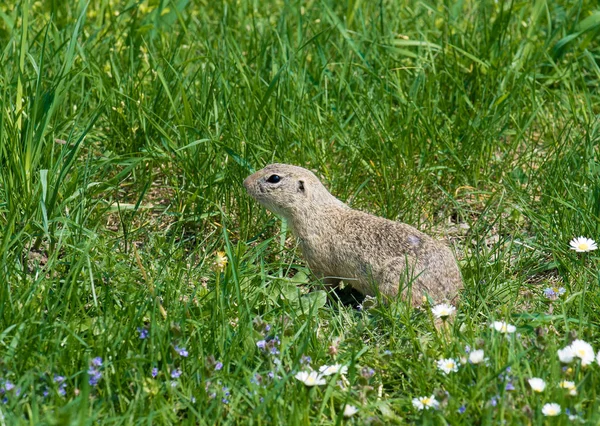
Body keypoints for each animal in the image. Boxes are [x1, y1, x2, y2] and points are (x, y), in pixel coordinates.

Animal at [244, 164, 464, 306]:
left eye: (274, 178)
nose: (245, 182)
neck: (315, 210)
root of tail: (451, 295)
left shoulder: (319, 261)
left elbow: (323, 285)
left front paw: (308, 295)